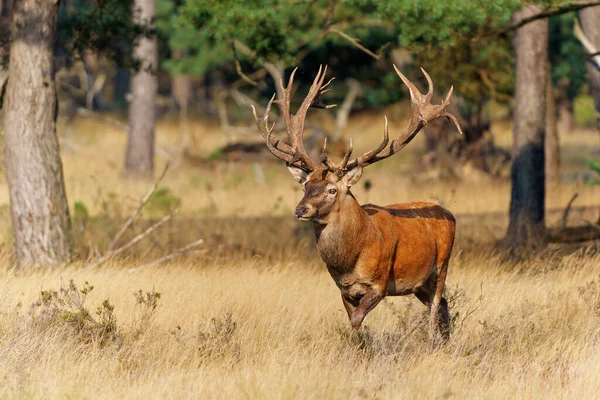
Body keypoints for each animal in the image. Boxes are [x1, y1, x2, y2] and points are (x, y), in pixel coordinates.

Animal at [251, 66, 462, 346]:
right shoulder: (344, 290)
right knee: (443, 306)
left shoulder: (380, 283)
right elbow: (353, 322)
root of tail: (450, 214)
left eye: (332, 189)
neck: (350, 262)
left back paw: (433, 342)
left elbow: (356, 320)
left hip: (442, 266)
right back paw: (446, 341)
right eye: (305, 186)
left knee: (437, 305)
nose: (300, 210)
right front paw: (357, 347)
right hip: (419, 284)